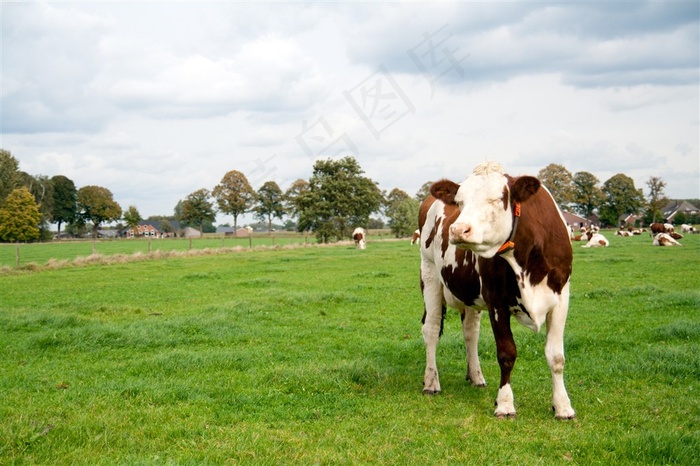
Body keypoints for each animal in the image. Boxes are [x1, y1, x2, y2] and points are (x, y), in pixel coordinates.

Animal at [422, 160, 576, 418]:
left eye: (498, 198)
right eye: (460, 201)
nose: (458, 230)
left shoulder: (561, 298)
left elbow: (556, 356)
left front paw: (563, 406)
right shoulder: (496, 301)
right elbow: (506, 353)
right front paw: (505, 404)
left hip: (471, 294)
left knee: (470, 332)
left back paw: (476, 376)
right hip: (429, 274)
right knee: (431, 329)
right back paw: (431, 382)